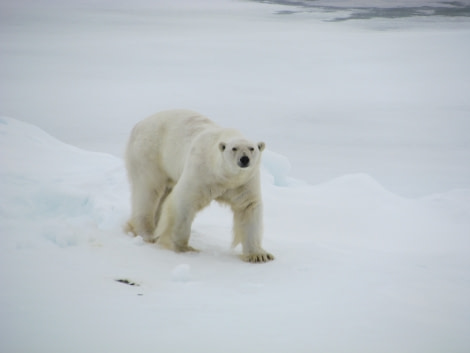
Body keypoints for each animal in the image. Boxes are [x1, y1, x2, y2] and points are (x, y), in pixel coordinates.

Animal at [125, 109, 274, 262]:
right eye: (234, 148)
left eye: (252, 148)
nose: (244, 159)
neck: (224, 176)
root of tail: (139, 124)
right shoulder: (202, 172)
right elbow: (184, 201)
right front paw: (182, 247)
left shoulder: (244, 182)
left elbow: (249, 207)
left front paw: (259, 255)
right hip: (149, 153)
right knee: (147, 190)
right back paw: (147, 233)